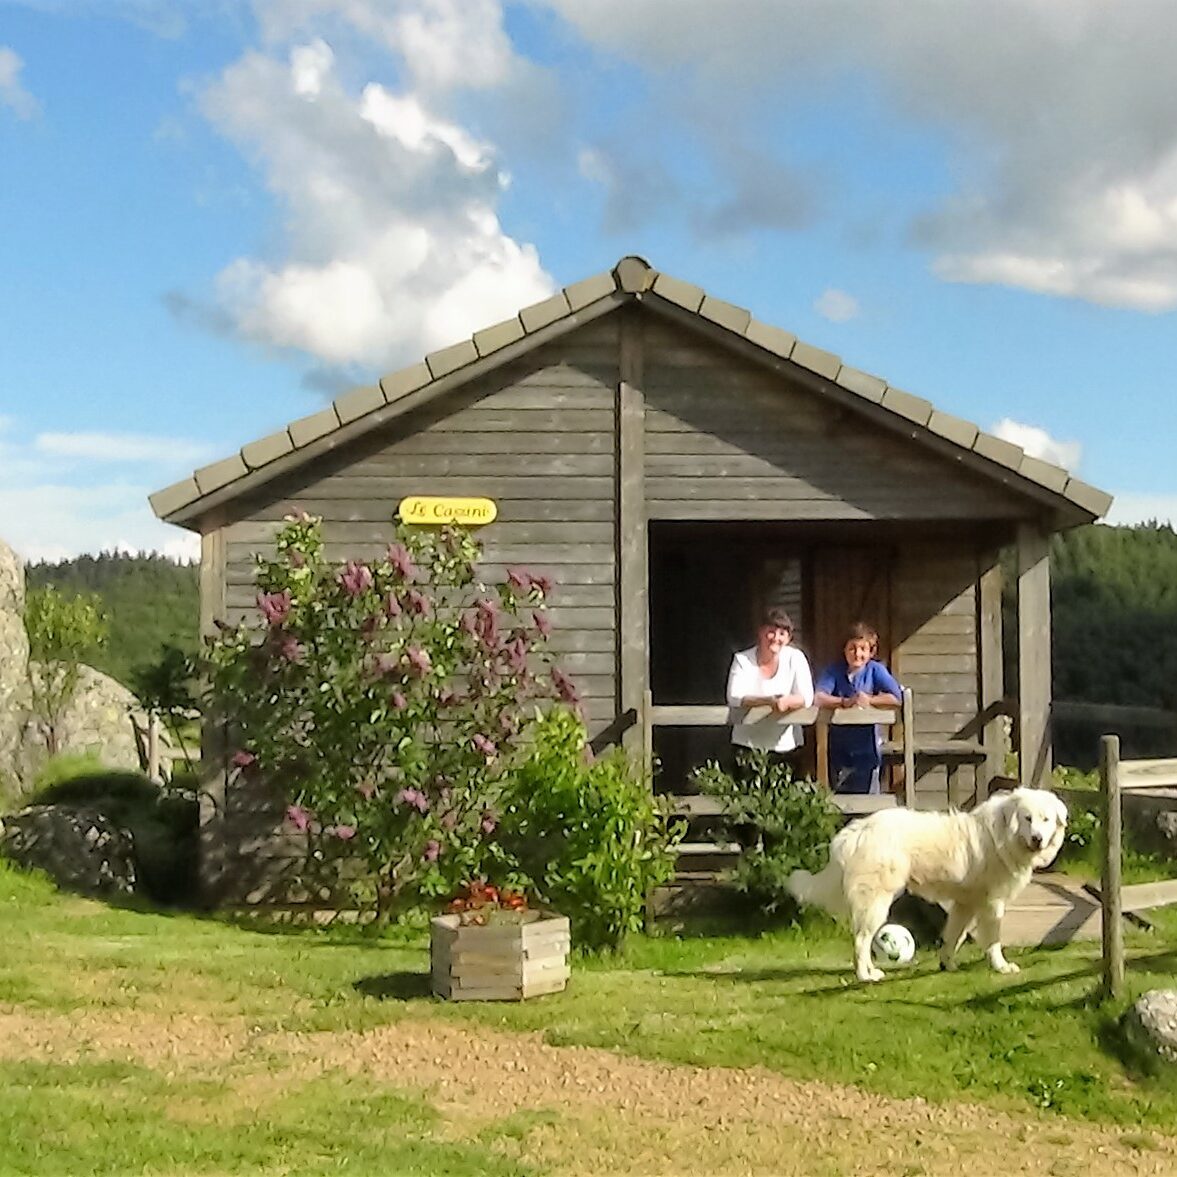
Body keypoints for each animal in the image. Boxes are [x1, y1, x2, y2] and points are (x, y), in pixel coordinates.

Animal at [786, 790, 1073, 983]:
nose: (1037, 839)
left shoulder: (965, 904)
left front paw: (948, 964)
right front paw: (1001, 967)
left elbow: (953, 936)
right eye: (1027, 818)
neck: (1003, 835)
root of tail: (856, 830)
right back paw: (866, 975)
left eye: (1046, 819)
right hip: (876, 903)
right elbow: (993, 941)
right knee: (861, 941)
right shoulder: (992, 905)